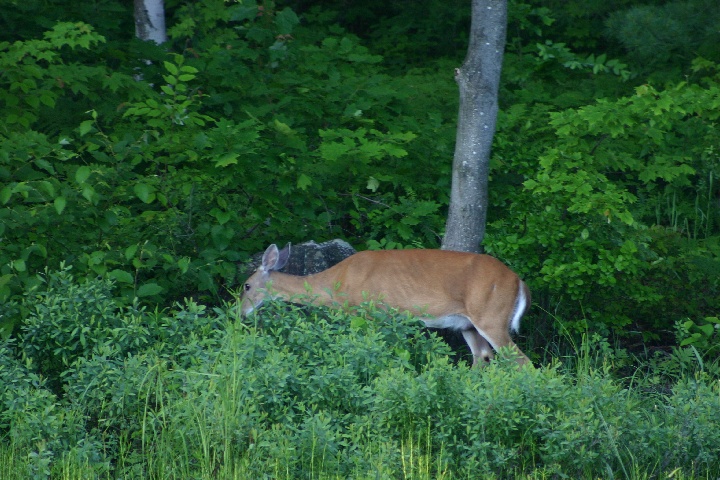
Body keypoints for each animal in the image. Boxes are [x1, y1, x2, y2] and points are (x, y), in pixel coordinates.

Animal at [240, 243, 531, 366]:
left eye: (246, 286)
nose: (239, 313)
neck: (337, 283)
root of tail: (519, 281)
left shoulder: (367, 312)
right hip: (467, 324)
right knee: (483, 356)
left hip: (491, 316)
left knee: (522, 361)